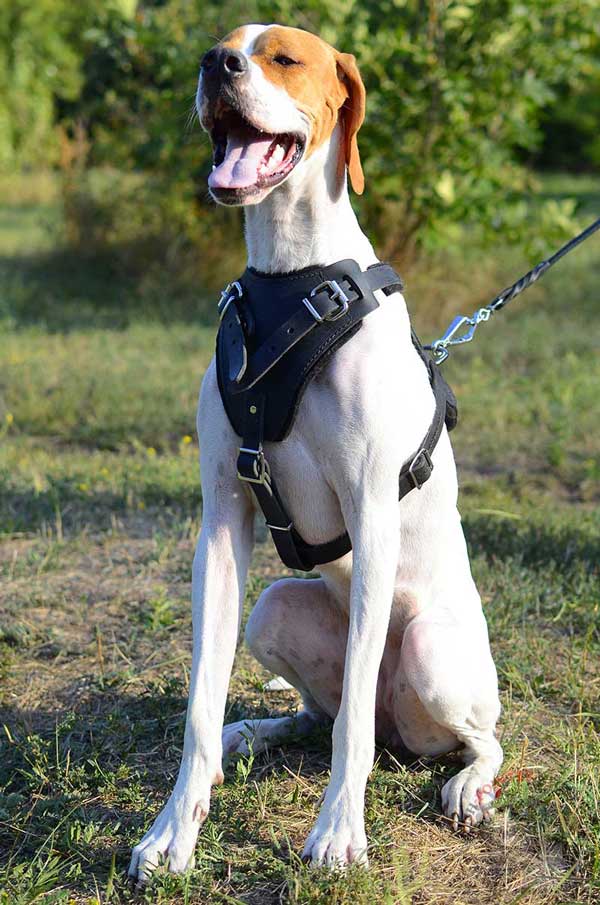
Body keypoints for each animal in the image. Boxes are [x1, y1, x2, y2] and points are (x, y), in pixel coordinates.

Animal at [130, 23, 502, 884]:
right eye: (221, 46)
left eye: (284, 58)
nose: (217, 66)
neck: (288, 279)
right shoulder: (222, 524)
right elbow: (199, 706)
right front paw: (173, 831)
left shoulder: (371, 517)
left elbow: (352, 726)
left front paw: (338, 832)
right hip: (272, 607)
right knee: (314, 711)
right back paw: (257, 731)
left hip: (431, 652)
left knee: (461, 732)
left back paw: (467, 782)